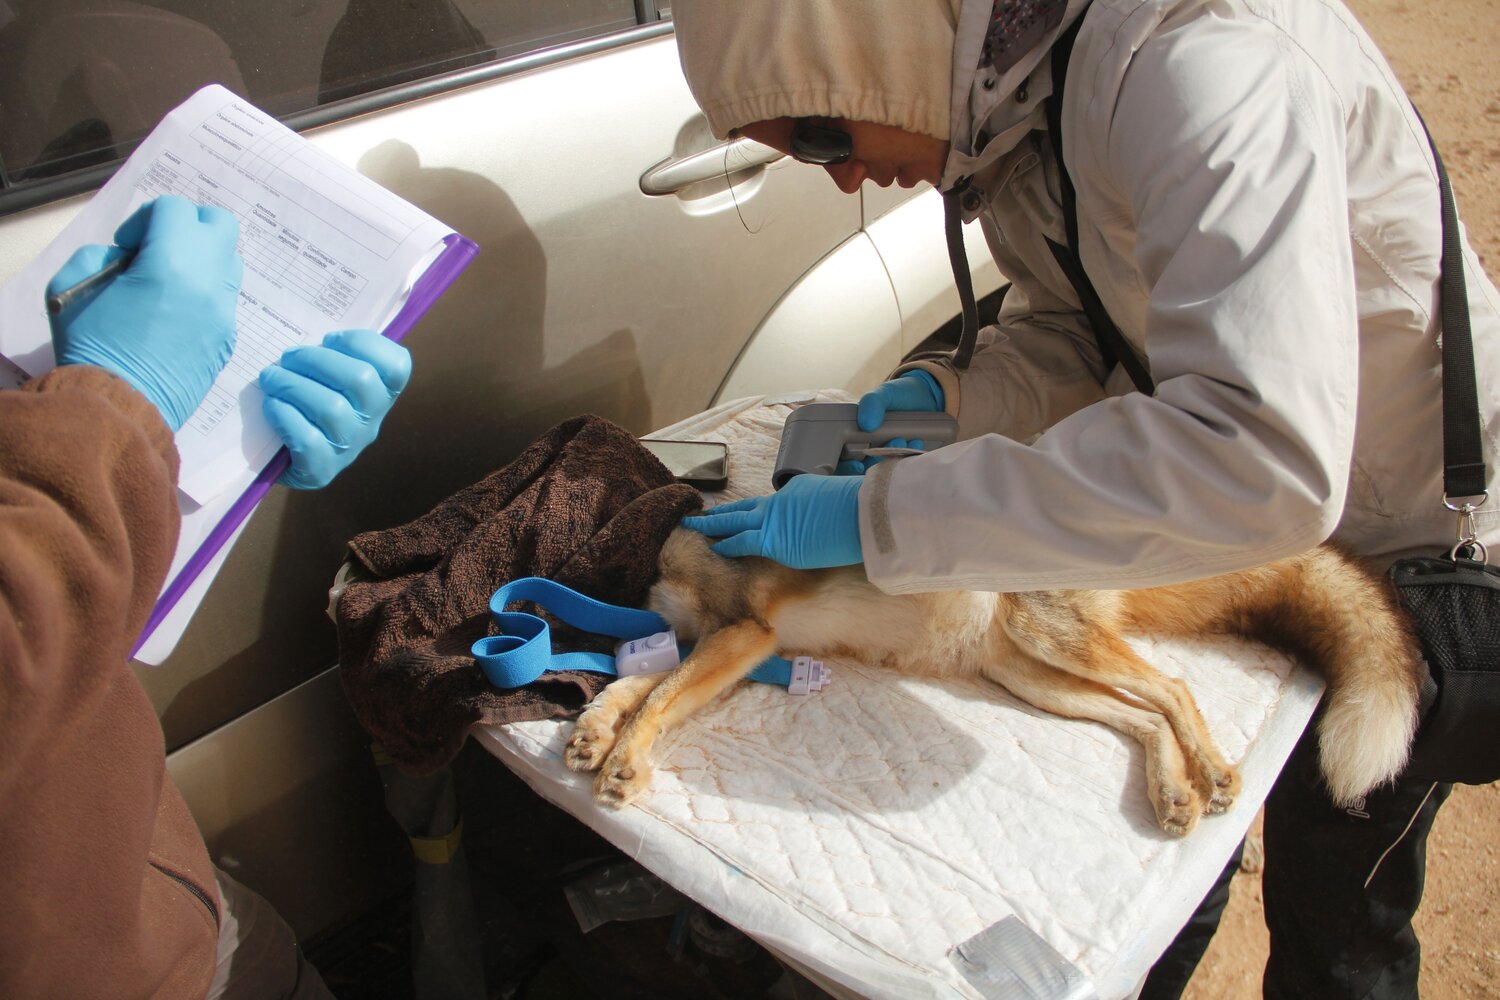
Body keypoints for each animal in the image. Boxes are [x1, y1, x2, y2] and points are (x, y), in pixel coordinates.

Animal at [564, 527, 1425, 836]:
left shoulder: (745, 632)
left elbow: (656, 700)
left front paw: (626, 762)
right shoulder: (714, 645)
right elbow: (633, 692)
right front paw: (597, 731)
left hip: (1053, 647)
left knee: (1176, 687)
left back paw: (1212, 772)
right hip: (1032, 677)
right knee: (1145, 717)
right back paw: (1173, 791)